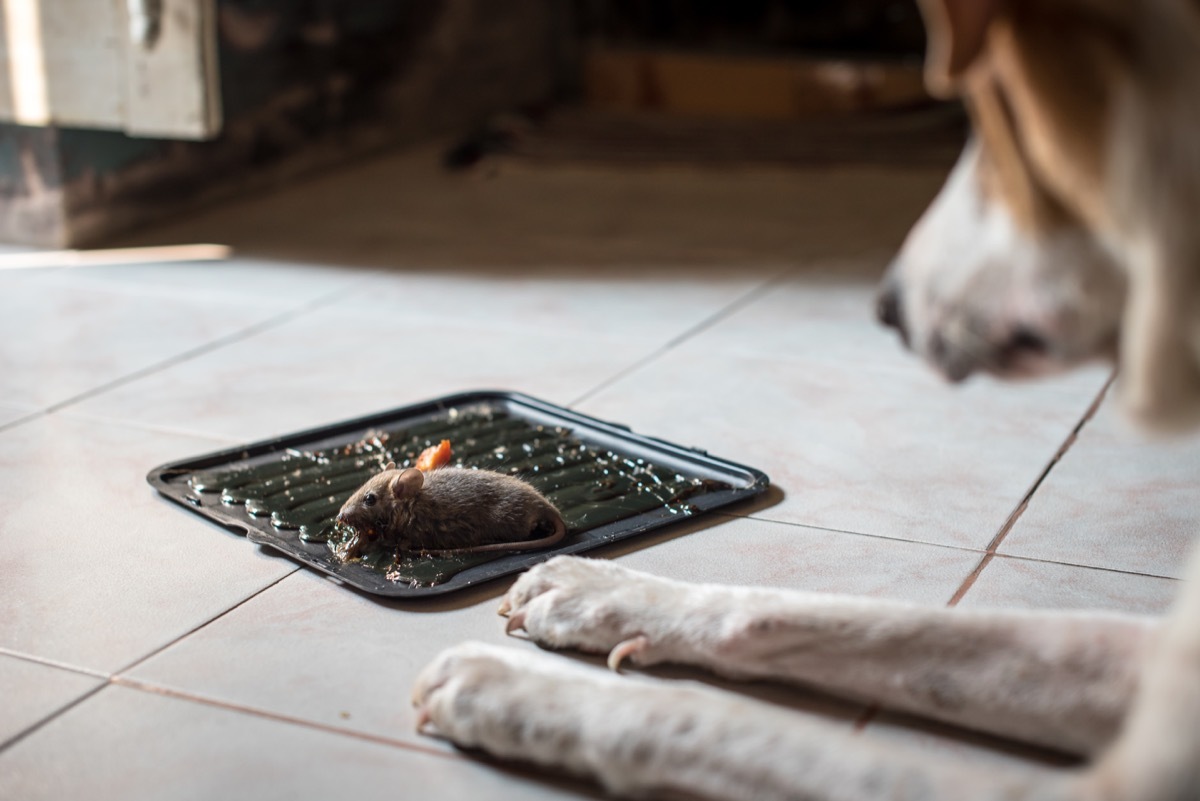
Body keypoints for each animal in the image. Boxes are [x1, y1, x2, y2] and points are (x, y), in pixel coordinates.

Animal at [412, 3, 1200, 796]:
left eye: (992, 121)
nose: (888, 307)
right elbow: (855, 620)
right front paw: (601, 595)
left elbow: (706, 720)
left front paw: (508, 689)